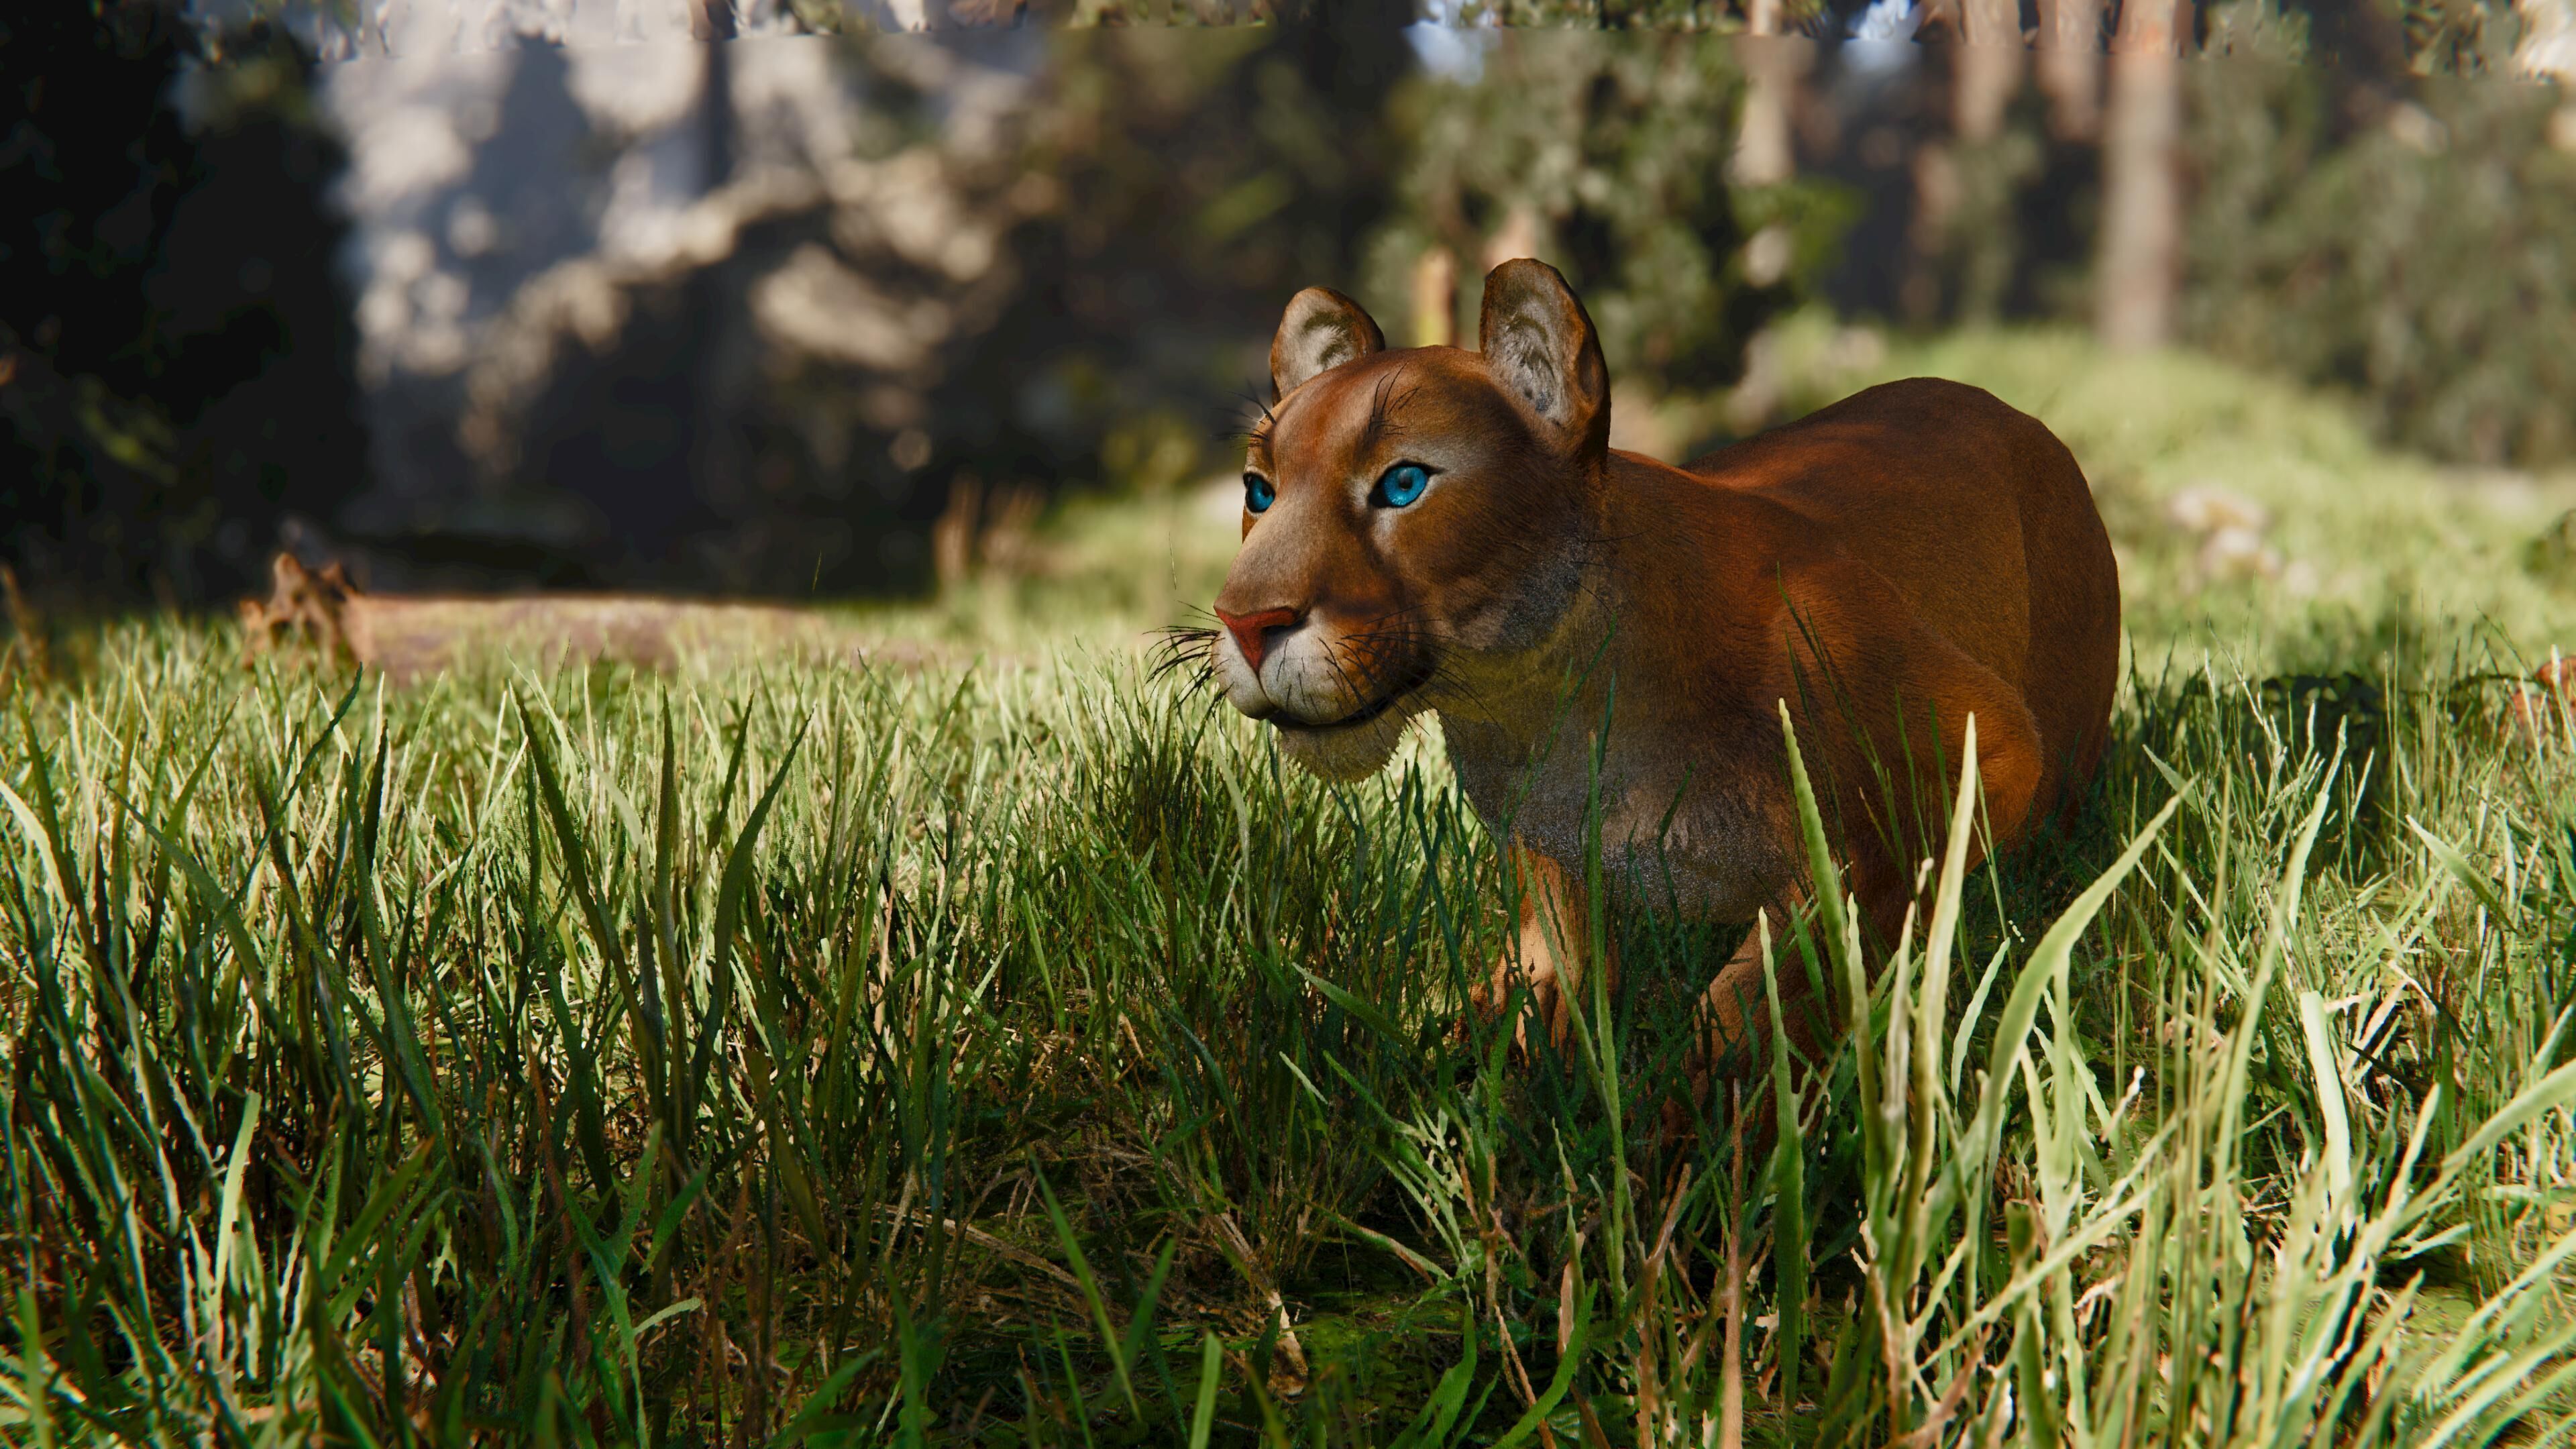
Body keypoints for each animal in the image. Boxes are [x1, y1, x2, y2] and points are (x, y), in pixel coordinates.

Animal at [1198, 258, 2120, 1085]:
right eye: (1259, 492)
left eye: (1403, 484)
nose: (1247, 624)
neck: (1550, 701)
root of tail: (2005, 407)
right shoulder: (1546, 845)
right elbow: (1554, 954)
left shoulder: (1977, 748)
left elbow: (1804, 947)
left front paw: (1709, 1103)